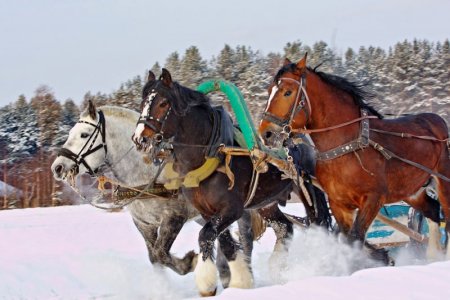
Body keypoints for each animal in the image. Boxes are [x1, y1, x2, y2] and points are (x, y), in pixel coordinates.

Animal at [50, 102, 256, 280]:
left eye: (84, 135)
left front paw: (189, 262)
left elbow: (160, 253)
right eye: (70, 133)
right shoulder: (144, 223)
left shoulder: (173, 217)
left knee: (246, 237)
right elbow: (154, 257)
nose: (57, 167)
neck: (145, 172)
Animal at [131, 69, 330, 296]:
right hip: (266, 203)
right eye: (143, 102)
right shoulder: (208, 212)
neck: (211, 153)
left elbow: (205, 235)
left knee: (319, 222)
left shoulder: (232, 209)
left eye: (164, 103)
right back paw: (277, 266)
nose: (140, 138)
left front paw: (208, 283)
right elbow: (225, 243)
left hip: (309, 191)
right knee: (284, 227)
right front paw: (241, 281)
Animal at [258, 55, 450, 264]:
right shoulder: (339, 204)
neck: (348, 147)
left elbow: (356, 239)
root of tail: (438, 121)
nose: (266, 133)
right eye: (269, 91)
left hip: (443, 181)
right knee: (433, 210)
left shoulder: (373, 198)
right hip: (413, 190)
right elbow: (346, 240)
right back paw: (433, 255)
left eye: (288, 92)